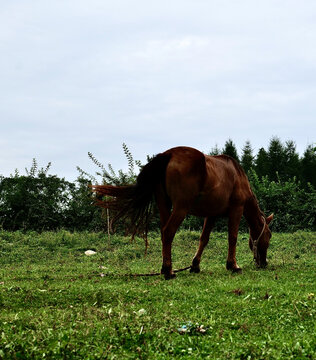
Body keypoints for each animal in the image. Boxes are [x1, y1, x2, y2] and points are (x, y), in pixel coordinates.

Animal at [92, 146, 272, 278]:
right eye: (269, 236)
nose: (264, 263)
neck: (237, 175)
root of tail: (168, 154)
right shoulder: (236, 209)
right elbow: (232, 238)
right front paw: (233, 265)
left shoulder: (211, 214)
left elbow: (203, 239)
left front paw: (195, 265)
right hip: (181, 208)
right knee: (168, 231)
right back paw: (168, 271)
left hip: (164, 205)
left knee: (165, 234)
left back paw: (167, 268)